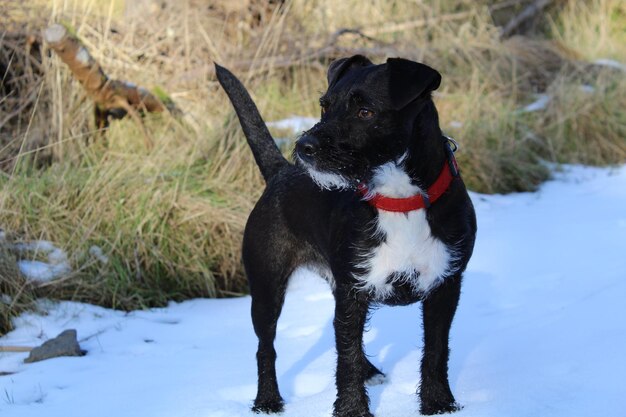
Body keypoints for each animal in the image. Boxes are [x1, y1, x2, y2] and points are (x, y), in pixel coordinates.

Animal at [213, 56, 472, 416]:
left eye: (365, 111)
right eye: (325, 106)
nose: (304, 147)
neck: (398, 199)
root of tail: (281, 171)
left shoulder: (445, 284)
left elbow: (436, 349)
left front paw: (438, 404)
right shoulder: (353, 290)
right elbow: (345, 356)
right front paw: (351, 409)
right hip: (266, 286)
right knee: (266, 347)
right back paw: (267, 400)